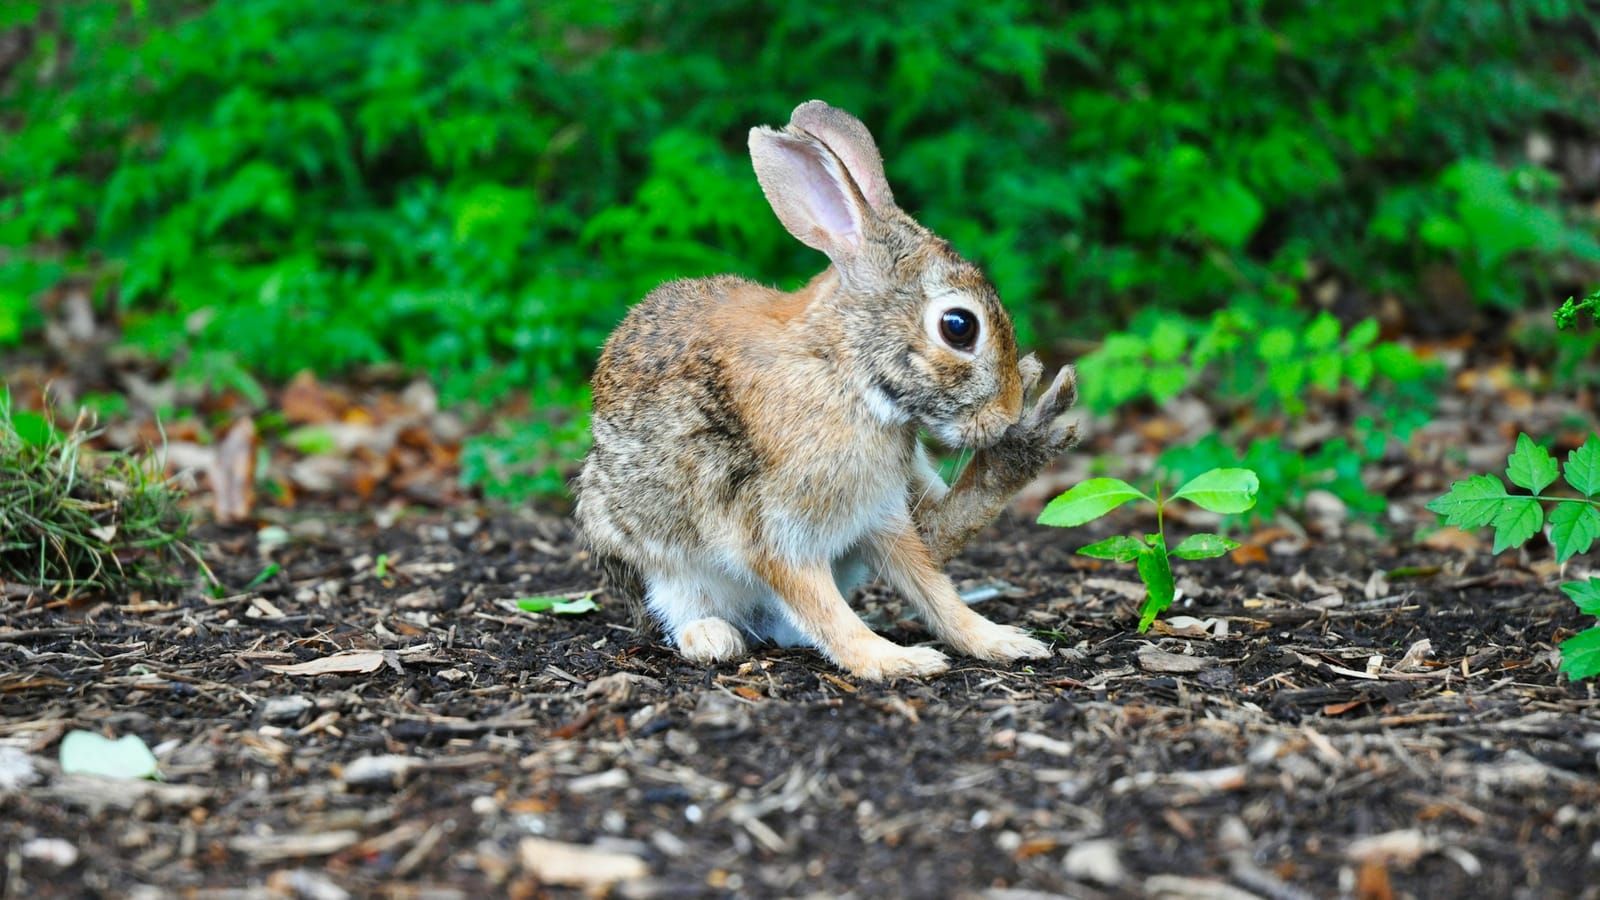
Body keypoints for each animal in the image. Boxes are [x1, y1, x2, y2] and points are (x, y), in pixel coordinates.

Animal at [574, 100, 1078, 680]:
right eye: (958, 326)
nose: (1006, 413)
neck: (845, 371)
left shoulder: (880, 515)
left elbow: (933, 589)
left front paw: (999, 642)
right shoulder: (774, 529)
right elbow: (824, 608)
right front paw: (893, 660)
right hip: (654, 558)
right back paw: (712, 637)